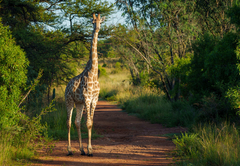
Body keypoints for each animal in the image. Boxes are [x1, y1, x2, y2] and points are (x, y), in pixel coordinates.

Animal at [64, 13, 105, 157]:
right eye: (93, 21)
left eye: (100, 21)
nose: (97, 28)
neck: (93, 73)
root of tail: (66, 87)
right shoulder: (87, 98)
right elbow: (87, 123)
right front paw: (90, 150)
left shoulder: (94, 98)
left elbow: (90, 123)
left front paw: (89, 149)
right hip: (69, 100)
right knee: (69, 122)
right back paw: (69, 150)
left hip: (79, 103)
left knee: (76, 122)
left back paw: (81, 150)